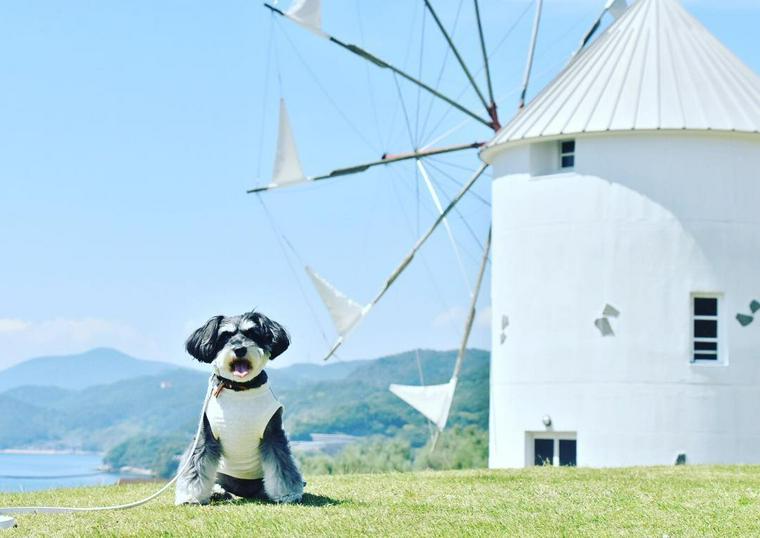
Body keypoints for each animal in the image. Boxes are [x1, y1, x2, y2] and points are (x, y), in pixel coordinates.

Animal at [174, 308, 304, 504]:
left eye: (252, 333)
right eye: (225, 336)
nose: (240, 349)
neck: (239, 388)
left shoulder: (273, 433)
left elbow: (282, 465)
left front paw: (288, 494)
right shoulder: (206, 435)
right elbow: (196, 465)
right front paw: (190, 496)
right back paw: (217, 491)